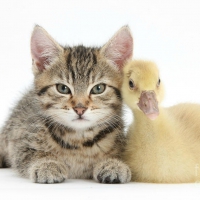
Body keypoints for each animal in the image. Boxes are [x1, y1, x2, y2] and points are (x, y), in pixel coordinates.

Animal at [0, 24, 134, 184]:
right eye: (62, 88)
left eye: (98, 88)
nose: (80, 108)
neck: (78, 141)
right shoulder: (22, 142)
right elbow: (29, 155)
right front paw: (47, 164)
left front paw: (113, 164)